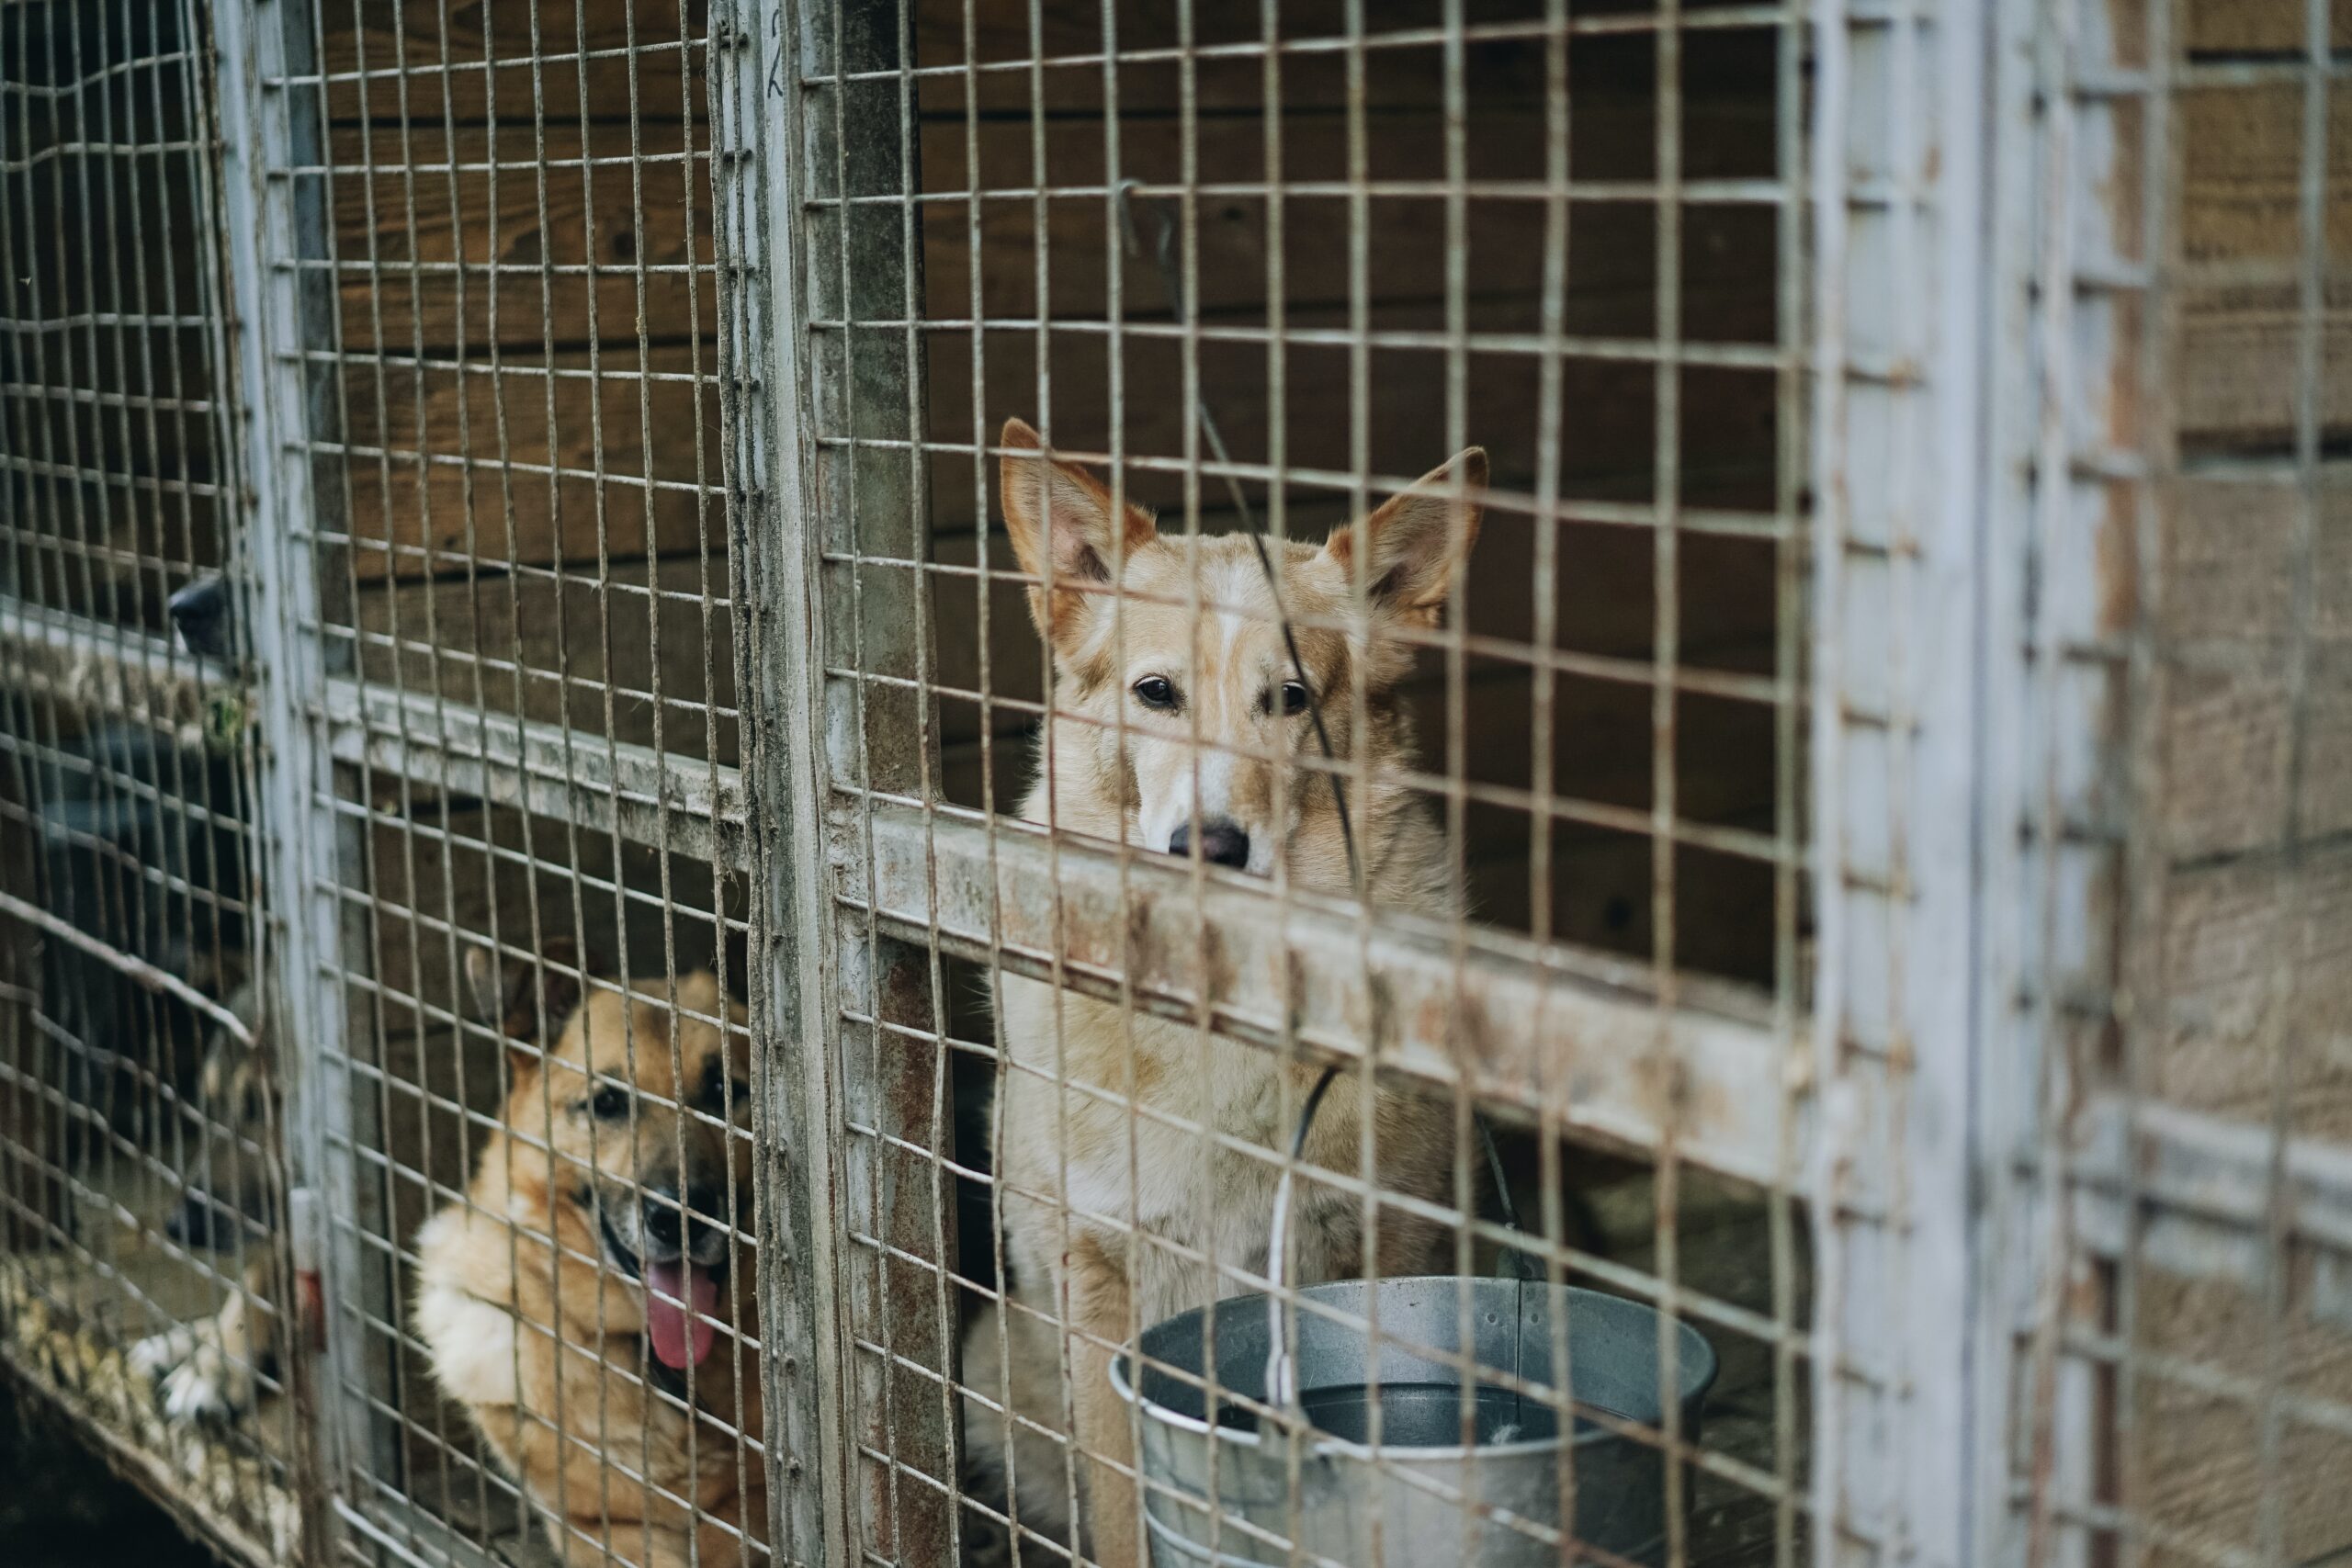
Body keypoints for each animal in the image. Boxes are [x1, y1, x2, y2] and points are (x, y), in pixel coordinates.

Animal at [959, 421, 1476, 1568]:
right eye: (1157, 693)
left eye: (1291, 699)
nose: (1210, 845)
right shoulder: (1094, 1278)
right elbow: (1118, 1510)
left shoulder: (1381, 1253)